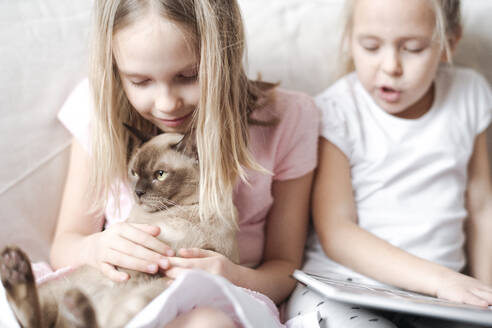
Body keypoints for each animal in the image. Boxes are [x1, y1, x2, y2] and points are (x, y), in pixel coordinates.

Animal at [0, 130, 238, 328]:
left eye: (160, 174)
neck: (184, 211)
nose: (138, 192)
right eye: (134, 173)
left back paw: (72, 307)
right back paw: (16, 269)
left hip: (145, 298)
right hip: (57, 292)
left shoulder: (213, 252)